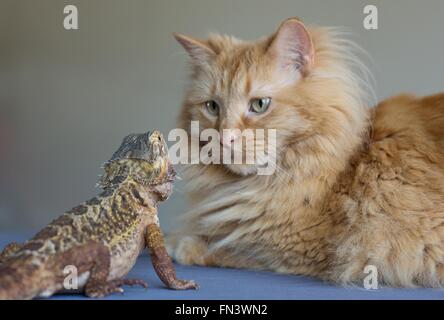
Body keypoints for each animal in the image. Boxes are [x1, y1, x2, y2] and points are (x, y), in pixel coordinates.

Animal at [166, 17, 444, 288]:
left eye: (259, 105)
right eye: (212, 107)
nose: (224, 138)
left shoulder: (294, 247)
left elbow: (226, 245)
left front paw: (178, 244)